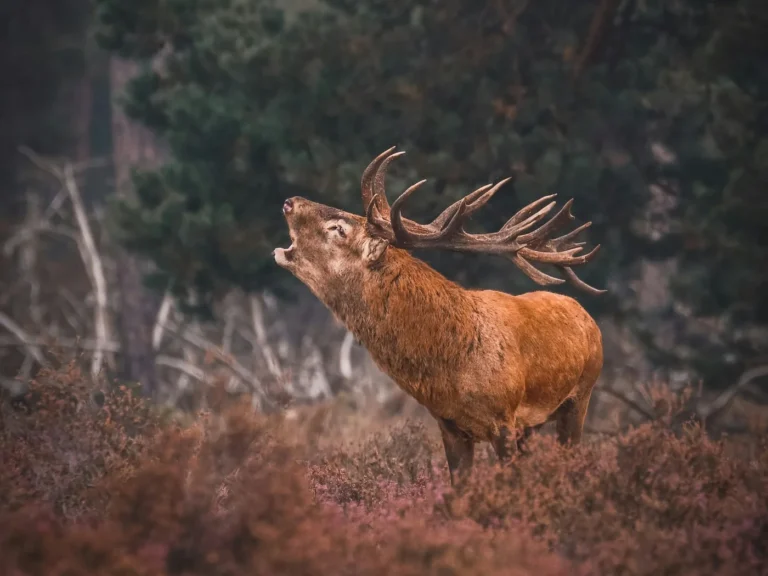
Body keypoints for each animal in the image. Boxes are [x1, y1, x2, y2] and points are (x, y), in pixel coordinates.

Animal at [273, 147, 605, 486]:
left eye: (339, 229)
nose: (290, 201)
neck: (454, 367)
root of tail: (585, 314)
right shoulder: (450, 425)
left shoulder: (504, 419)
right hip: (534, 425)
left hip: (581, 396)